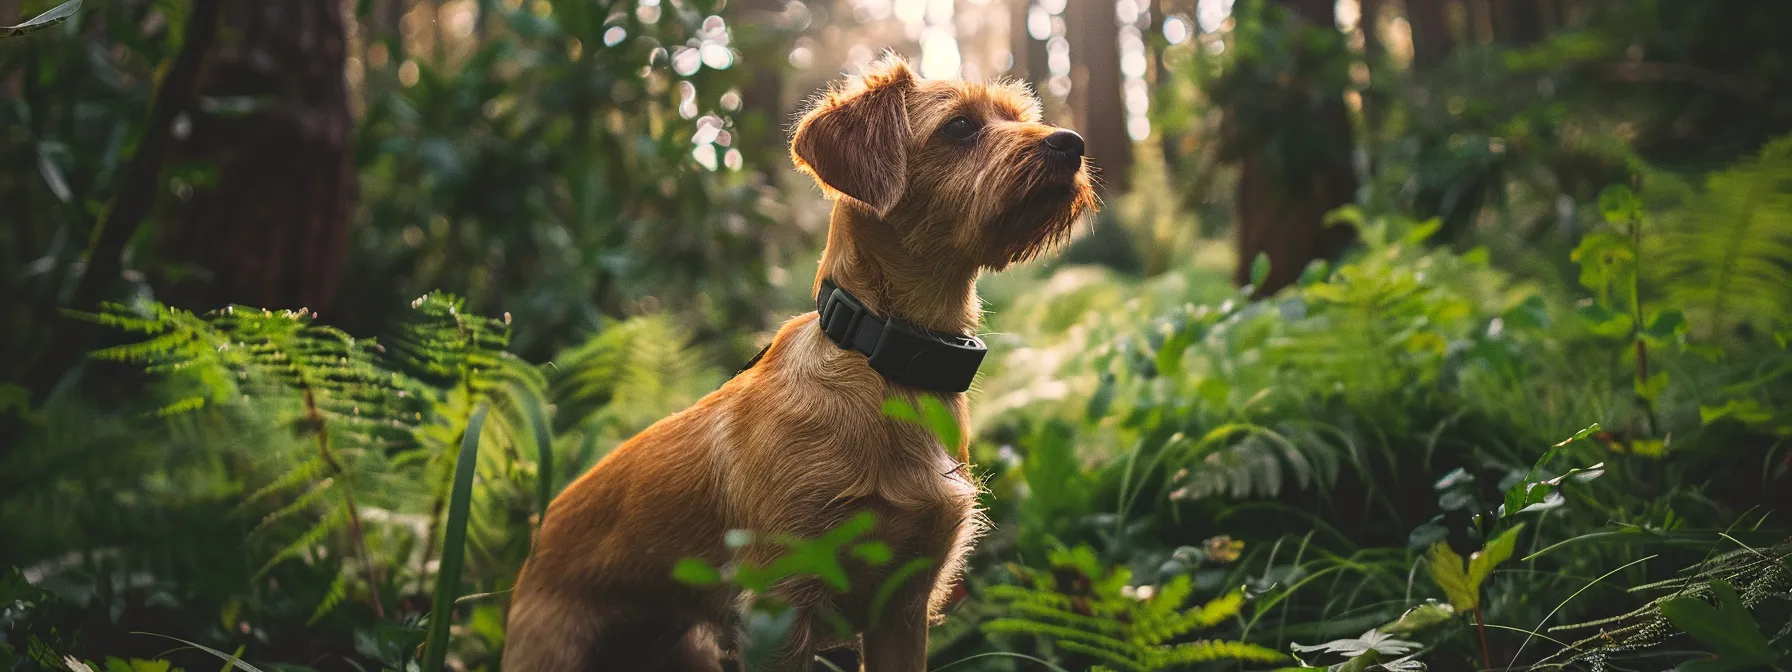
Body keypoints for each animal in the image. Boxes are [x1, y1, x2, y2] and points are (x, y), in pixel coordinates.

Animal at [498, 56, 1096, 672]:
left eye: (1019, 117)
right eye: (959, 127)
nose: (1071, 143)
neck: (884, 362)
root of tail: (533, 548)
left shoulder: (902, 609)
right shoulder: (779, 608)